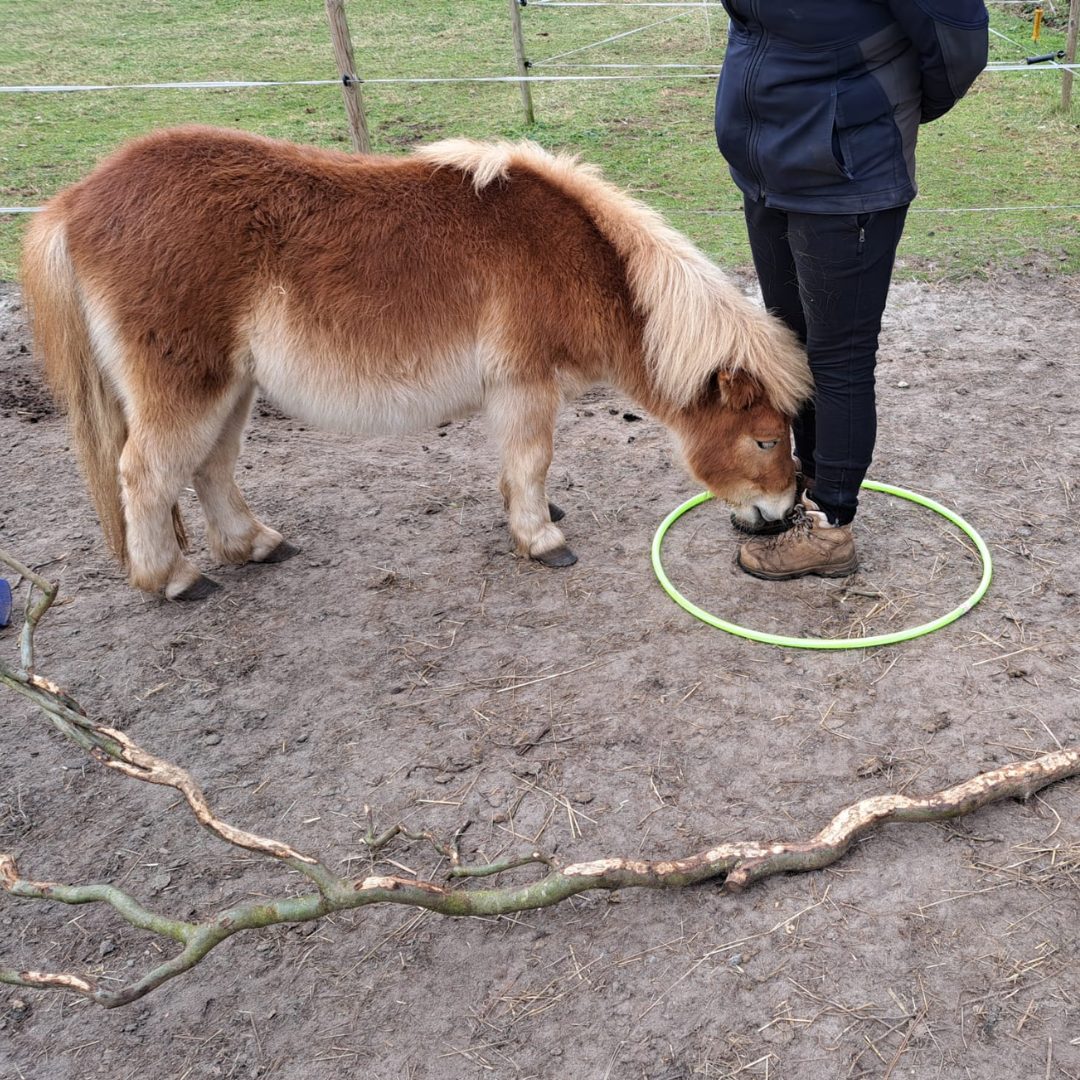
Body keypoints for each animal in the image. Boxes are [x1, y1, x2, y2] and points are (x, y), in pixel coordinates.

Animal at [21, 126, 812, 600]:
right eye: (766, 439)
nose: (780, 517)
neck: (571, 256)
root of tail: (77, 200)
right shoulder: (524, 382)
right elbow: (532, 459)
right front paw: (542, 539)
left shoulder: (511, 387)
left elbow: (515, 464)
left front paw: (529, 514)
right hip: (190, 386)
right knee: (147, 473)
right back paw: (174, 579)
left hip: (234, 385)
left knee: (210, 466)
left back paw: (253, 545)